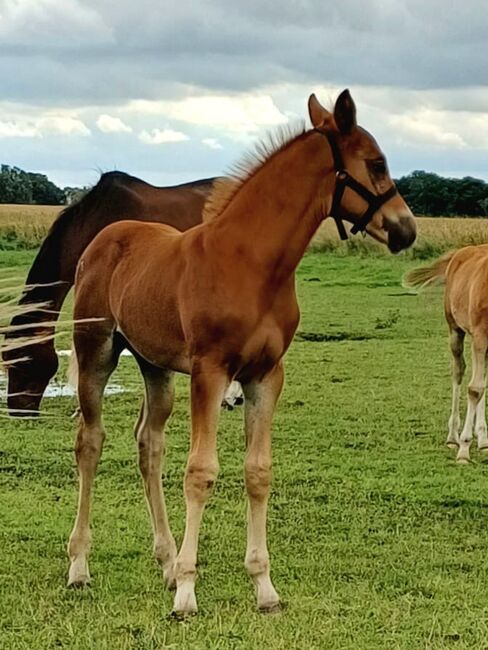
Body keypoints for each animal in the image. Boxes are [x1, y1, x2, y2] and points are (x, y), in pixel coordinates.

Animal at [66, 90, 416, 612]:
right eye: (376, 163)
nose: (407, 230)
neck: (253, 266)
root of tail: (103, 238)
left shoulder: (265, 375)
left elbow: (258, 472)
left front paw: (263, 587)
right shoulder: (211, 372)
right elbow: (201, 471)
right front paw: (187, 593)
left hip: (155, 366)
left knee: (149, 444)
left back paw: (165, 561)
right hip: (96, 353)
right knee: (90, 443)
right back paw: (80, 565)